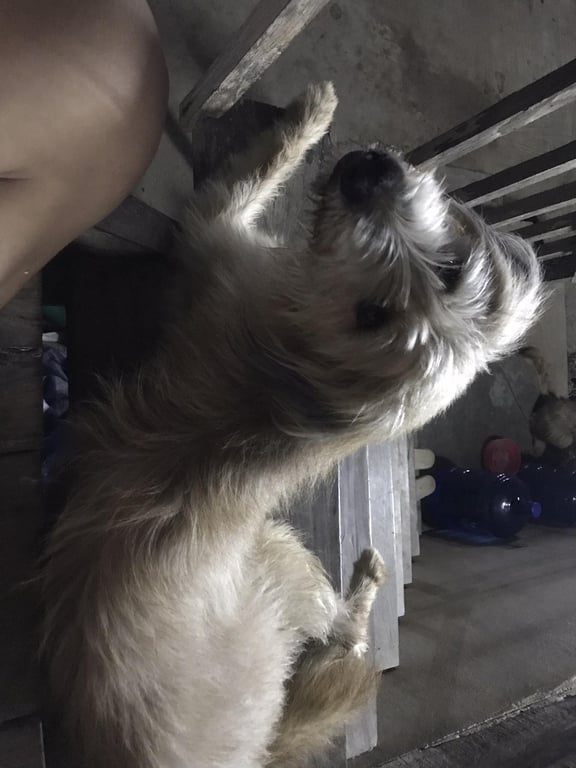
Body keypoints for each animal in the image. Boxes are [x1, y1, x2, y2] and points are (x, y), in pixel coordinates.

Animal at [41, 82, 544, 768]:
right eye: (449, 269)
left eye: (370, 315)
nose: (367, 173)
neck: (304, 356)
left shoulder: (217, 230)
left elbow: (254, 172)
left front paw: (310, 115)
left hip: (280, 559)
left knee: (346, 636)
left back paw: (365, 583)